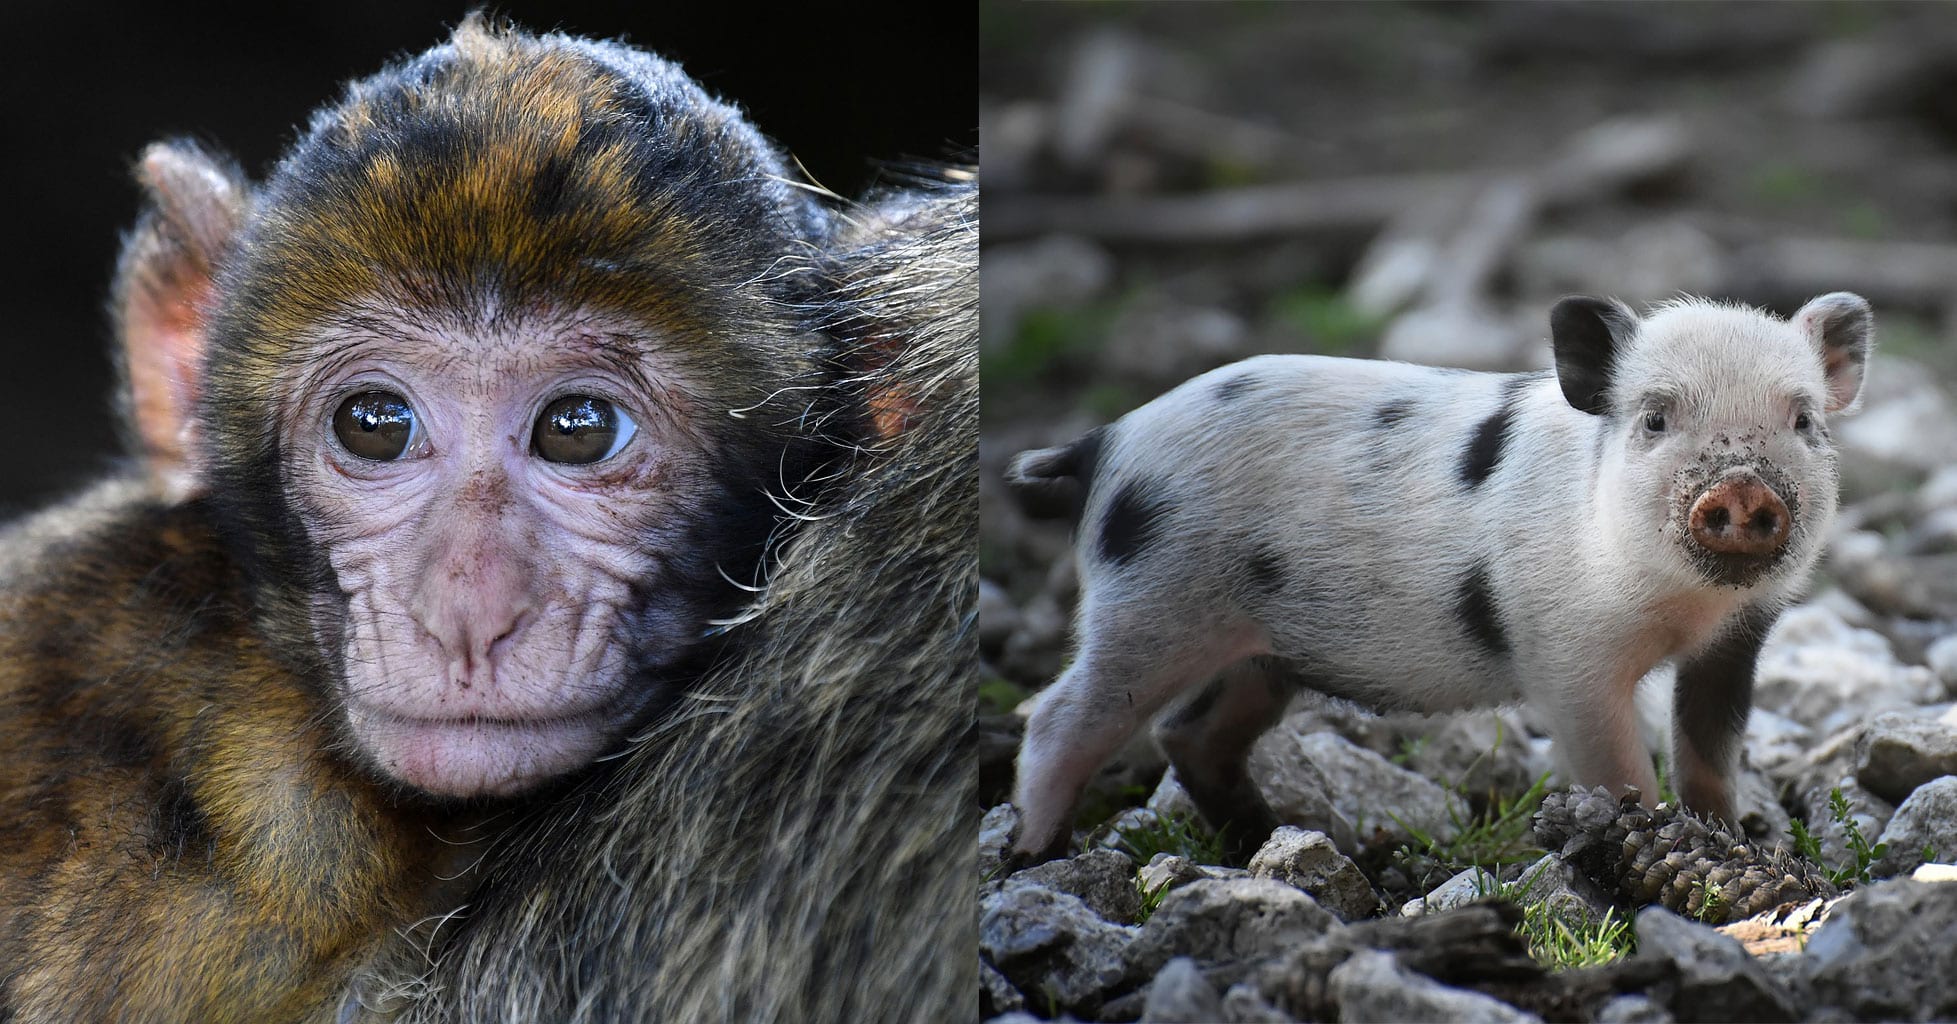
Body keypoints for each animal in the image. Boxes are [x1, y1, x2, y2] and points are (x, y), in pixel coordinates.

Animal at [1006, 293, 1873, 862]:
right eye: (1654, 419)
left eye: (1803, 420)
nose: (1742, 487)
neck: (1685, 609)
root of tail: (1106, 441)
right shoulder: (1565, 657)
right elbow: (1620, 769)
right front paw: (1644, 835)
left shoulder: (1737, 642)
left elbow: (1709, 753)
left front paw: (1726, 841)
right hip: (1145, 605)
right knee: (1057, 717)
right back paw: (1037, 856)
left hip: (1258, 652)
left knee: (1188, 733)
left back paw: (1278, 841)